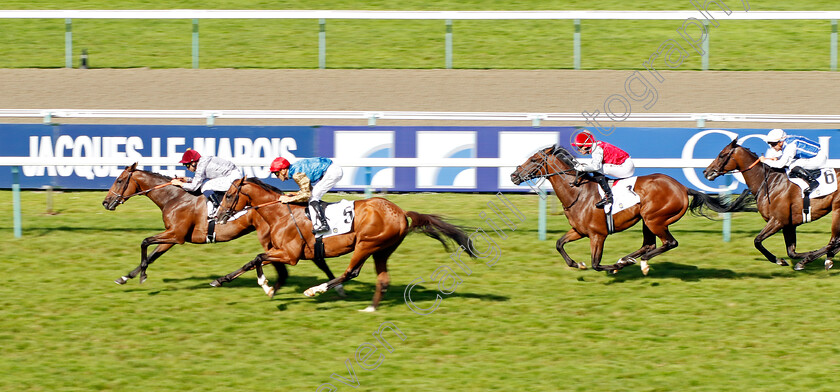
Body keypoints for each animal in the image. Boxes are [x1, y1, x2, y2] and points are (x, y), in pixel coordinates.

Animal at [100, 161, 342, 296]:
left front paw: (141, 275)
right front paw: (127, 277)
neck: (174, 197)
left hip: (269, 237)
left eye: (119, 180)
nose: (105, 202)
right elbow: (152, 254)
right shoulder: (172, 237)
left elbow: (145, 242)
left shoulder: (176, 235)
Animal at [213, 178, 476, 312]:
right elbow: (252, 261)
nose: (218, 216)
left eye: (228, 195)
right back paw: (371, 308)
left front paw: (265, 285)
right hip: (382, 250)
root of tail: (401, 212)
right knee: (382, 279)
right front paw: (222, 280)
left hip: (366, 245)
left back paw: (316, 290)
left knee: (351, 272)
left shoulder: (289, 254)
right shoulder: (280, 251)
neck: (281, 213)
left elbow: (257, 258)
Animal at [508, 145, 744, 274]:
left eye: (534, 159)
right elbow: (559, 244)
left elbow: (596, 264)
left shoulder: (597, 235)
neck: (578, 193)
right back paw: (627, 259)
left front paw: (613, 266)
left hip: (654, 219)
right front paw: (577, 263)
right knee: (649, 244)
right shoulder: (579, 231)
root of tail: (682, 187)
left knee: (669, 243)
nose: (513, 175)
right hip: (647, 220)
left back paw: (638, 263)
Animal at [704, 139, 836, 272]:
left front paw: (780, 260)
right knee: (835, 241)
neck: (770, 182)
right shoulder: (788, 225)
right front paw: (808, 255)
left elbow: (757, 241)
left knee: (834, 241)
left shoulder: (778, 221)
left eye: (721, 155)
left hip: (837, 210)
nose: (706, 171)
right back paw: (826, 259)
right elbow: (791, 252)